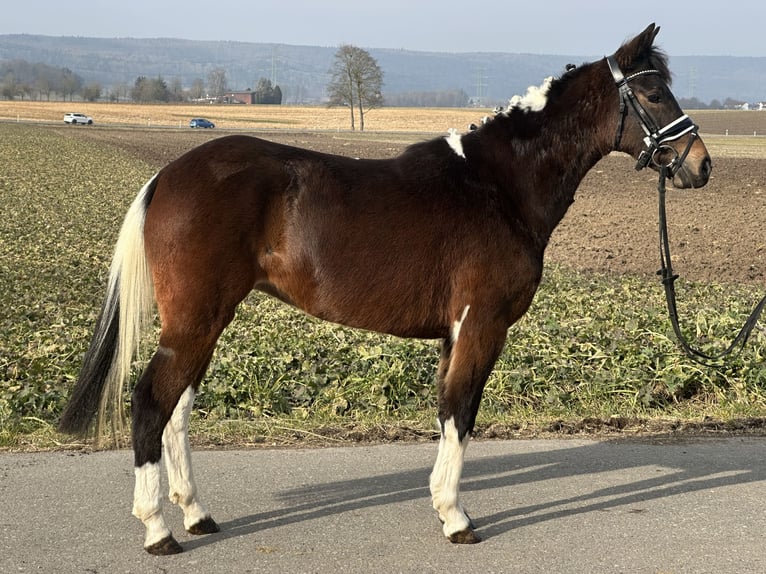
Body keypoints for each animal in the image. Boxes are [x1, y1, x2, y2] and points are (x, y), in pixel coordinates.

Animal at [58, 23, 712, 560]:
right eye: (655, 93)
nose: (700, 165)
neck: (497, 186)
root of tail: (167, 176)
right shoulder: (481, 326)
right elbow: (462, 410)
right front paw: (456, 518)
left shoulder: (454, 333)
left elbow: (448, 413)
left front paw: (443, 505)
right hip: (196, 320)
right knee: (153, 403)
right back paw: (158, 530)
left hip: (205, 321)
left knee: (177, 411)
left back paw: (195, 514)